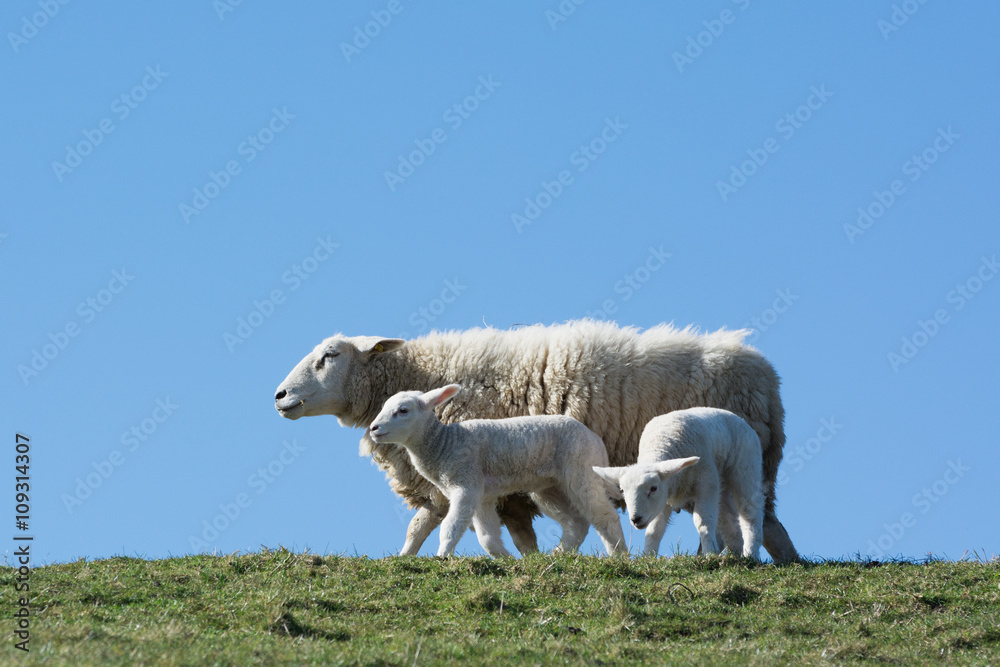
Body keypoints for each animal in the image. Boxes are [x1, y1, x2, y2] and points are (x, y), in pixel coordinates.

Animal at [368, 384, 627, 557]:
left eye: (403, 410)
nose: (374, 428)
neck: (444, 444)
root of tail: (595, 439)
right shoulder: (482, 494)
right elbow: (487, 537)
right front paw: (507, 559)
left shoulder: (466, 484)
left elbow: (451, 527)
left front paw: (442, 557)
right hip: (549, 486)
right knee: (576, 522)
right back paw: (558, 554)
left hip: (581, 468)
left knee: (604, 515)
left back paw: (619, 556)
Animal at [593, 407, 764, 559]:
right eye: (622, 490)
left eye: (653, 488)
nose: (635, 519)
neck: (662, 443)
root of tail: (739, 419)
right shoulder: (665, 496)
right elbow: (654, 529)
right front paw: (647, 557)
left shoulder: (707, 483)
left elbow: (703, 522)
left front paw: (709, 554)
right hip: (723, 485)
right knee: (728, 519)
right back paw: (735, 554)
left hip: (745, 468)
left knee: (750, 513)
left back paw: (751, 554)